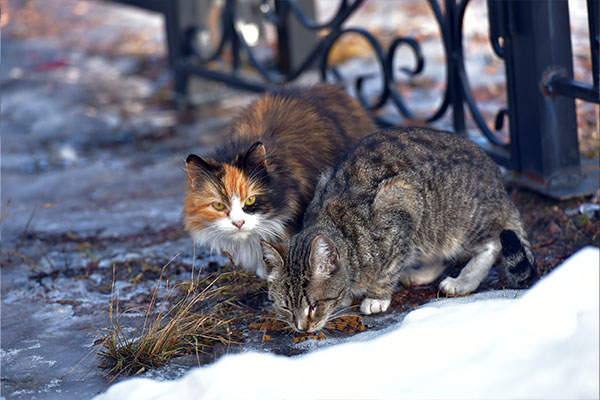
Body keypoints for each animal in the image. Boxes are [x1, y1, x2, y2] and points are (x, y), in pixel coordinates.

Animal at [260, 126, 536, 332]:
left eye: (314, 304)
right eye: (285, 307)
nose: (301, 328)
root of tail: (500, 184)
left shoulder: (401, 204)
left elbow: (389, 268)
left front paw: (375, 297)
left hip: (455, 221)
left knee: (493, 242)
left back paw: (464, 280)